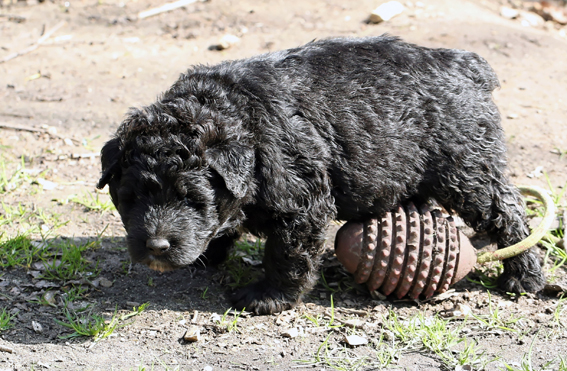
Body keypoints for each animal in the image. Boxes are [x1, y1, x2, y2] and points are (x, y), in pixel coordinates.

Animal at [97, 35, 544, 314]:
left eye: (192, 198)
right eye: (130, 198)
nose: (155, 247)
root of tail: (465, 65)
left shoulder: (303, 202)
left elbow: (286, 254)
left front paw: (269, 298)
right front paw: (209, 253)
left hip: (466, 170)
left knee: (509, 213)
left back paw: (525, 277)